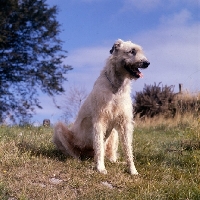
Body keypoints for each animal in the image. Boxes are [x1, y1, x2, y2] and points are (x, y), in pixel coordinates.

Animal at [53, 39, 150, 175]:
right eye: (132, 51)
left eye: (140, 50)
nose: (147, 63)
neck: (116, 88)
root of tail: (87, 155)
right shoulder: (99, 120)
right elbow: (99, 145)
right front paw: (100, 167)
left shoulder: (124, 123)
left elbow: (128, 148)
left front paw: (132, 170)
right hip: (60, 130)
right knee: (73, 151)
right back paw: (76, 159)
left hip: (113, 134)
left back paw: (114, 161)